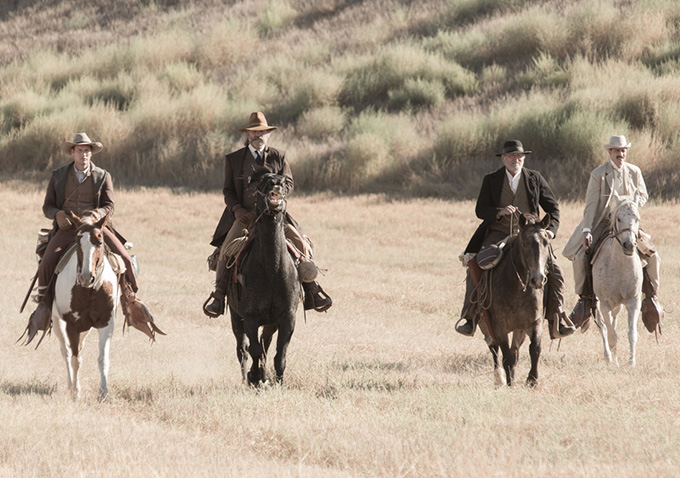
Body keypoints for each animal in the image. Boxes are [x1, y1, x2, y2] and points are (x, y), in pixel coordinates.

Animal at [52, 213, 119, 400]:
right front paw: (75, 392)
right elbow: (75, 358)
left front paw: (103, 392)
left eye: (100, 240)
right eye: (78, 241)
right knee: (66, 352)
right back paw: (70, 385)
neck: (90, 289)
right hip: (57, 322)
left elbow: (103, 359)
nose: (86, 277)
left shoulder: (106, 323)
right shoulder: (72, 325)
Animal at [226, 170, 300, 386]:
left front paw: (277, 380)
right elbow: (254, 349)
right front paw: (255, 377)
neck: (272, 271)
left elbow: (279, 354)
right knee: (243, 349)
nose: (275, 182)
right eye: (262, 182)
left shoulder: (287, 318)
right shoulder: (250, 318)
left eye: (284, 182)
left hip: (270, 324)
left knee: (265, 345)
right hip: (236, 317)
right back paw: (247, 376)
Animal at [588, 194, 644, 366]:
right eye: (618, 219)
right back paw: (608, 356)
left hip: (617, 305)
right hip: (598, 304)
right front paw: (613, 362)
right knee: (603, 327)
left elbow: (632, 333)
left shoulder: (633, 301)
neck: (619, 265)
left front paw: (631, 362)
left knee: (614, 320)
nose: (629, 245)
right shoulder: (604, 304)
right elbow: (611, 334)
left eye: (637, 218)